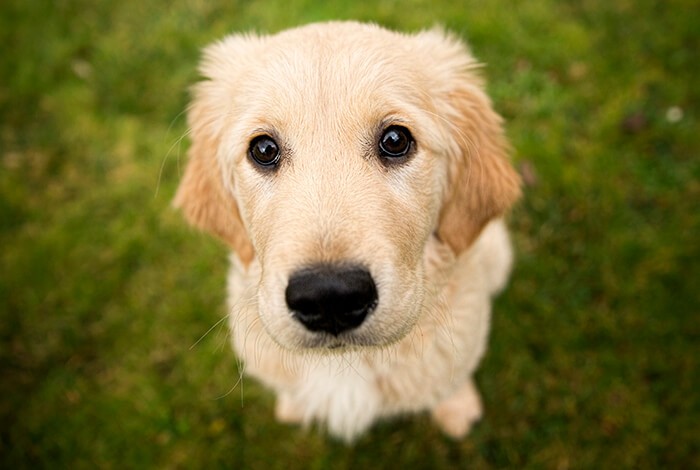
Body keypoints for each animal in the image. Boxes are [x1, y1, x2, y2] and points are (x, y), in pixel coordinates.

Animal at [175, 21, 520, 440]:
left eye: (395, 140)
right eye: (263, 149)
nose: (329, 297)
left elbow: (451, 378)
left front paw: (456, 409)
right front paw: (293, 407)